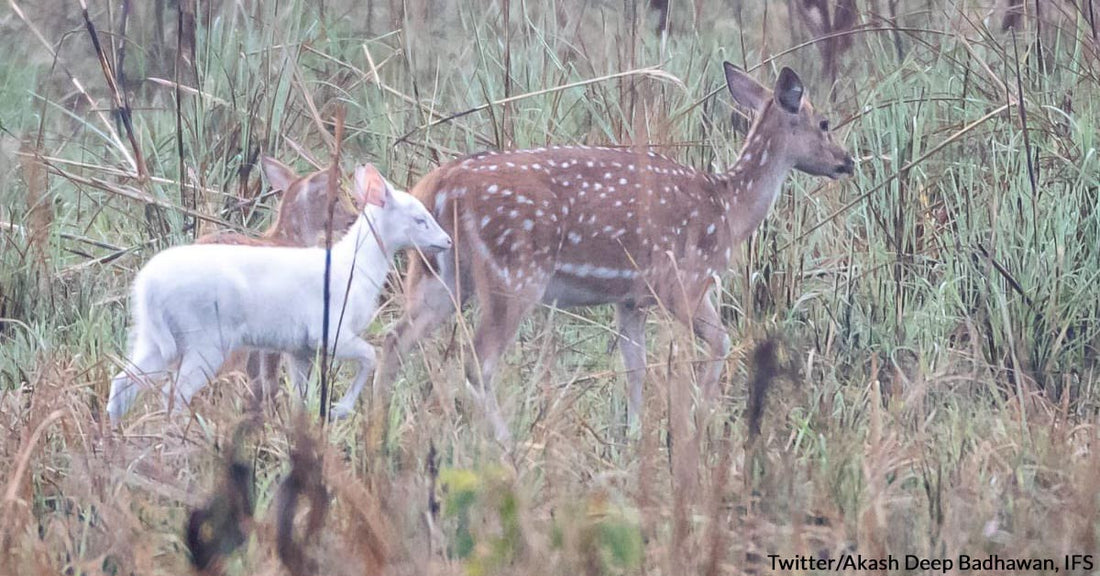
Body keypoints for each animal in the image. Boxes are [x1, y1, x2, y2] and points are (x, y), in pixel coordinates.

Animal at [107, 163, 451, 424]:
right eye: (420, 218)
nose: (447, 240)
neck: (356, 268)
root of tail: (147, 287)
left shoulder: (300, 347)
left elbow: (302, 394)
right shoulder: (330, 331)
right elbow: (370, 355)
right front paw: (340, 410)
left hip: (152, 337)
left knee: (122, 383)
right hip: (206, 337)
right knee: (174, 392)